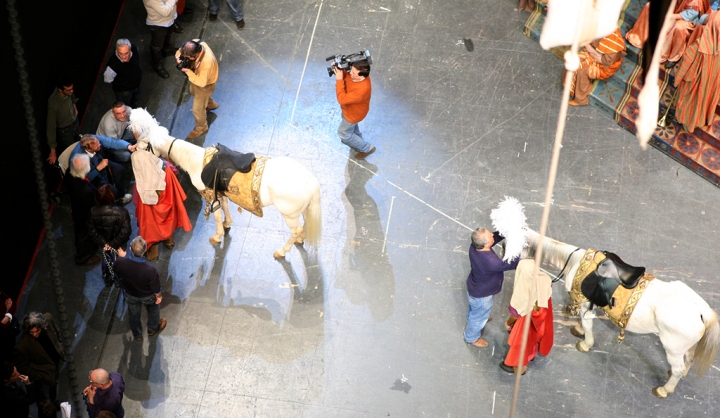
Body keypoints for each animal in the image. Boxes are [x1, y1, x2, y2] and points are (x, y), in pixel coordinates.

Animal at [129, 108, 320, 258]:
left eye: (144, 145)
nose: (132, 151)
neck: (195, 160)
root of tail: (311, 181)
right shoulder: (220, 192)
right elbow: (226, 207)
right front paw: (228, 223)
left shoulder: (209, 195)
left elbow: (217, 216)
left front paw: (217, 235)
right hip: (302, 211)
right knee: (303, 225)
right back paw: (301, 238)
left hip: (289, 215)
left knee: (295, 231)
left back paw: (282, 251)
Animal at [524, 230, 720, 396]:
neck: (576, 261)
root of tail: (702, 311)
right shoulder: (589, 303)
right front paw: (578, 330)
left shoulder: (584, 303)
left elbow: (587, 325)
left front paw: (585, 344)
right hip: (686, 348)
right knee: (689, 358)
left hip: (672, 349)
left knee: (678, 368)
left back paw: (664, 390)